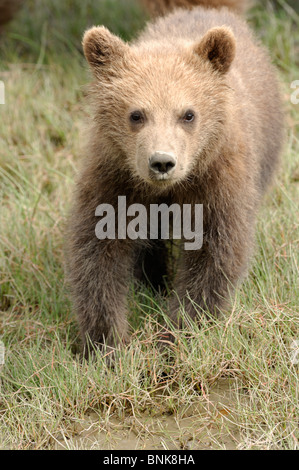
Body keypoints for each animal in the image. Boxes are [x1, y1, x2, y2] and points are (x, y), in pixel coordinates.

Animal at [67, 0, 284, 352]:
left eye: (188, 114)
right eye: (136, 114)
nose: (162, 162)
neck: (169, 189)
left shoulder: (217, 183)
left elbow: (213, 258)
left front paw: (179, 332)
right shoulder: (115, 178)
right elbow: (97, 253)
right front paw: (106, 342)